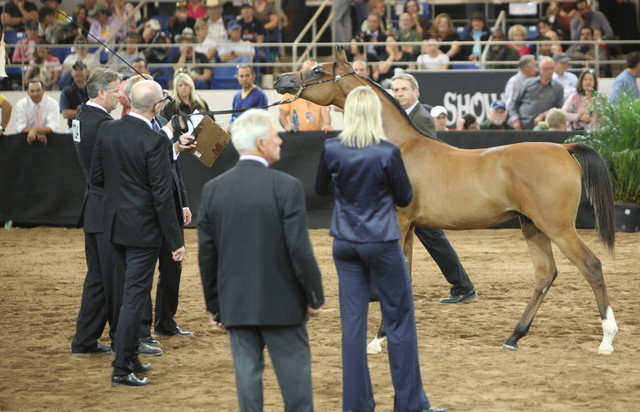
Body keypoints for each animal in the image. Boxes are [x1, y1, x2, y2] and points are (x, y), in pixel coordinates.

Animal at [274, 46, 618, 355]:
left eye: (317, 70)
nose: (279, 79)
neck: (402, 148)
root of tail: (564, 148)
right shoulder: (410, 227)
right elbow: (404, 277)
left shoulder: (399, 222)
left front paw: (377, 340)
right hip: (532, 226)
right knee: (545, 275)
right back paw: (514, 337)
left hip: (558, 227)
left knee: (591, 265)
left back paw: (607, 339)